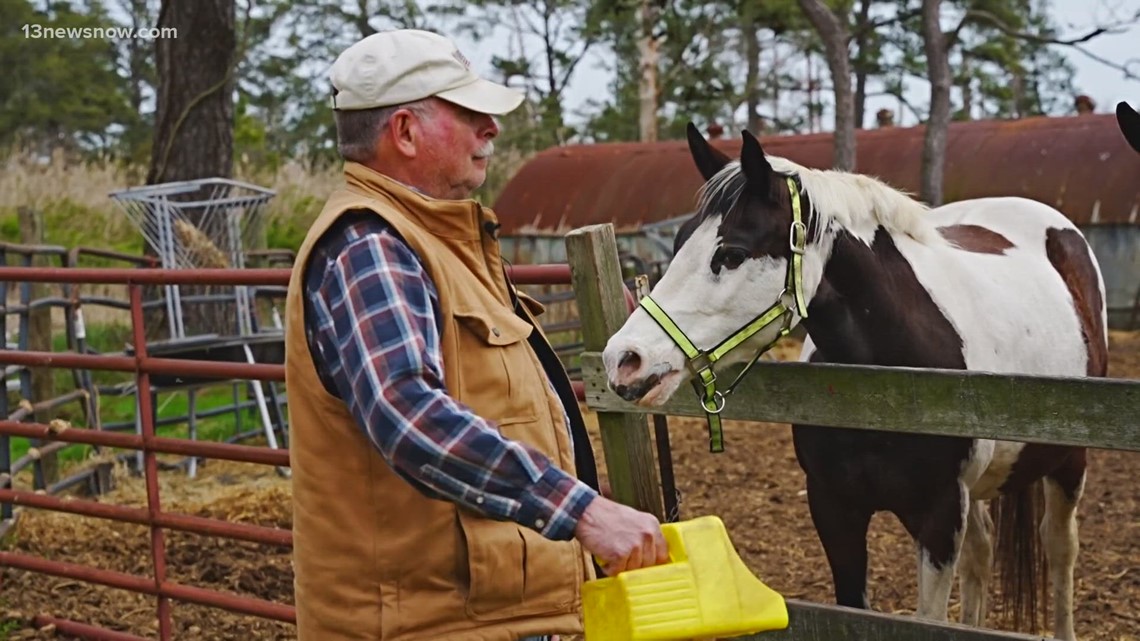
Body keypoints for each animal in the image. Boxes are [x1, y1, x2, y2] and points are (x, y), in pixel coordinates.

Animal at [601, 124, 1108, 638]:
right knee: (982, 554)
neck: (886, 387)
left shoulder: (940, 517)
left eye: (732, 253)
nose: (624, 360)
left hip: (1068, 462)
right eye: (680, 243)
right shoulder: (835, 510)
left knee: (1059, 548)